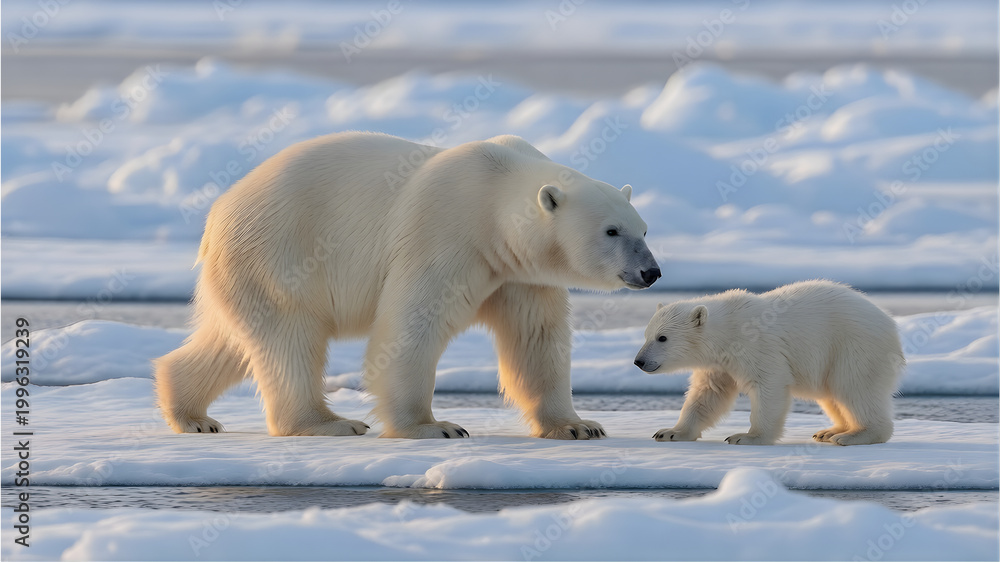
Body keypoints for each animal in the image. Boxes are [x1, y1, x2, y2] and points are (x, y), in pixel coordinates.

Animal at [154, 131, 660, 439]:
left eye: (644, 229)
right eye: (612, 231)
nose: (651, 272)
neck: (492, 200)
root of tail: (218, 211)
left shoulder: (518, 273)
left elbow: (536, 338)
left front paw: (578, 425)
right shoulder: (444, 235)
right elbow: (413, 325)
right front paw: (433, 426)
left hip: (247, 270)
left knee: (230, 341)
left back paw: (191, 414)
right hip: (280, 254)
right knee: (291, 339)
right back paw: (331, 423)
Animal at [633, 280, 904, 446]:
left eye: (662, 337)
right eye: (646, 334)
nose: (639, 361)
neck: (729, 329)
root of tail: (890, 324)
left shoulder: (757, 346)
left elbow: (769, 385)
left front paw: (746, 437)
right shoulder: (719, 364)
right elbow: (707, 395)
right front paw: (670, 432)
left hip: (853, 348)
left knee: (854, 388)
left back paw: (854, 435)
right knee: (833, 396)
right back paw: (830, 431)